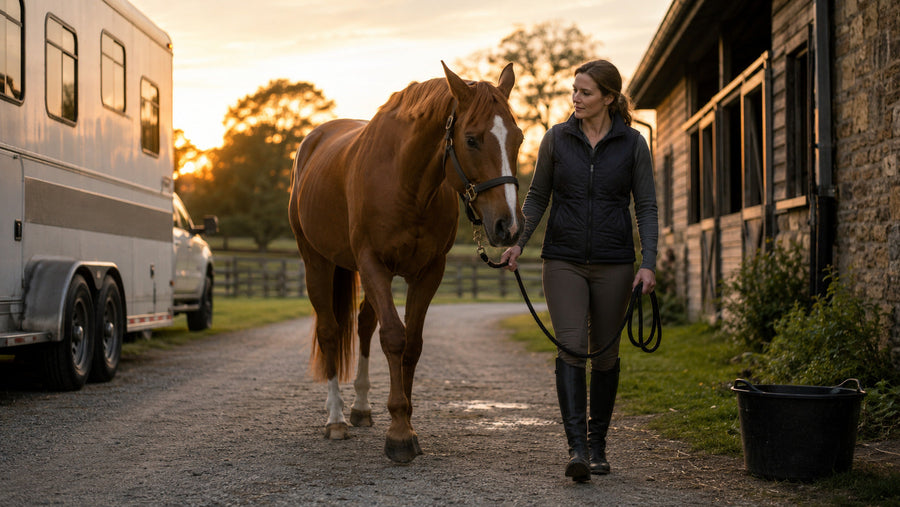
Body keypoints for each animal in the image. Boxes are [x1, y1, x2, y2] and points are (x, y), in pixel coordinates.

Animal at [288, 62, 524, 463]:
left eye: (519, 138)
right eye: (472, 139)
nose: (508, 226)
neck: (405, 183)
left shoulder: (428, 272)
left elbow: (412, 343)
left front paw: (406, 422)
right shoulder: (373, 264)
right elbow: (394, 338)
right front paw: (398, 433)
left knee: (364, 324)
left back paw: (361, 408)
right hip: (316, 261)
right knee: (331, 330)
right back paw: (336, 419)